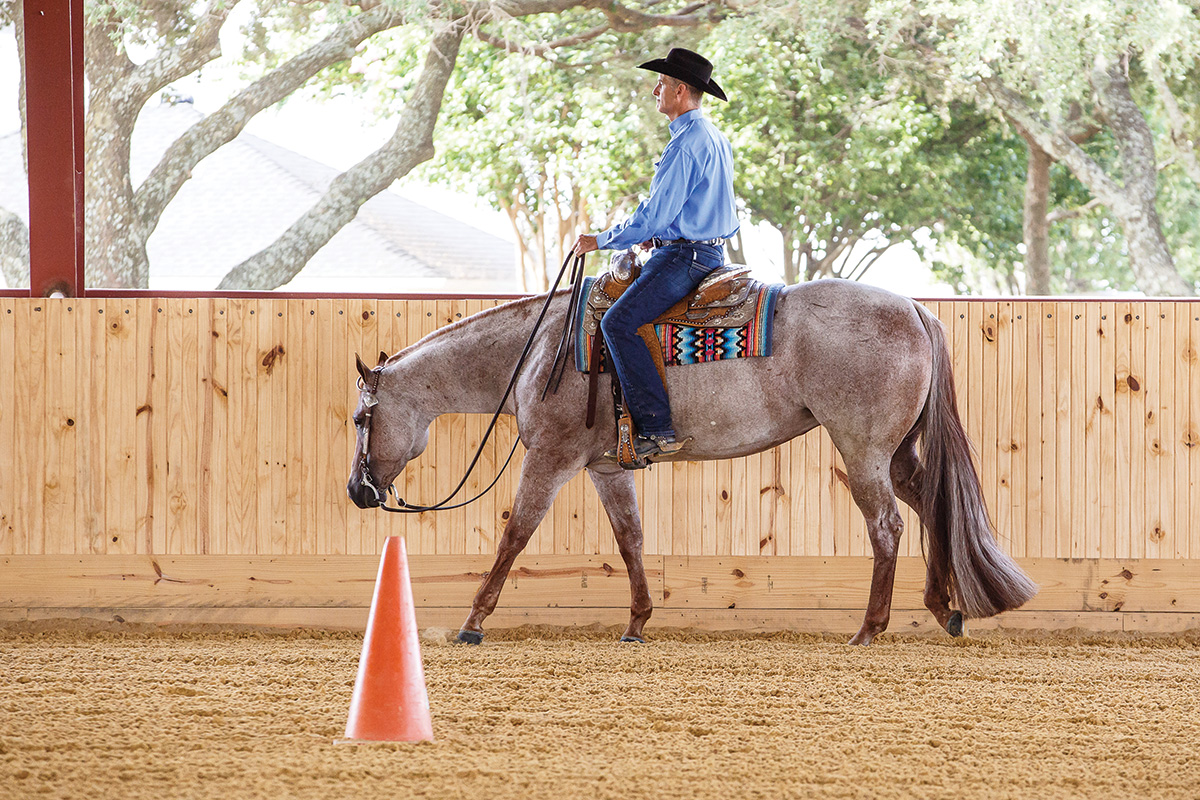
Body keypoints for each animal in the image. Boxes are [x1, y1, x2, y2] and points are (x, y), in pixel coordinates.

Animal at [348, 278, 1041, 647]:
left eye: (360, 419)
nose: (358, 491)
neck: (542, 349)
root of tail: (915, 309)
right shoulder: (607, 468)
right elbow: (629, 539)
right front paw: (636, 624)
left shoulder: (550, 456)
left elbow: (514, 534)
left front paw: (471, 623)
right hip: (895, 452)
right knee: (930, 504)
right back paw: (945, 607)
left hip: (862, 448)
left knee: (887, 526)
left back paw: (870, 629)